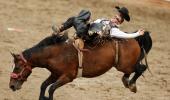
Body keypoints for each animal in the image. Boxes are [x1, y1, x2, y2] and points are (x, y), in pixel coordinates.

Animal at [8, 31, 153, 100]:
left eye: (17, 67)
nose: (11, 86)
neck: (56, 53)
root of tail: (133, 38)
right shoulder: (55, 74)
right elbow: (44, 85)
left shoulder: (67, 77)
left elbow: (51, 89)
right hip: (123, 65)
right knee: (133, 72)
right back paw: (127, 82)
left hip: (125, 65)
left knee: (141, 68)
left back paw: (132, 85)